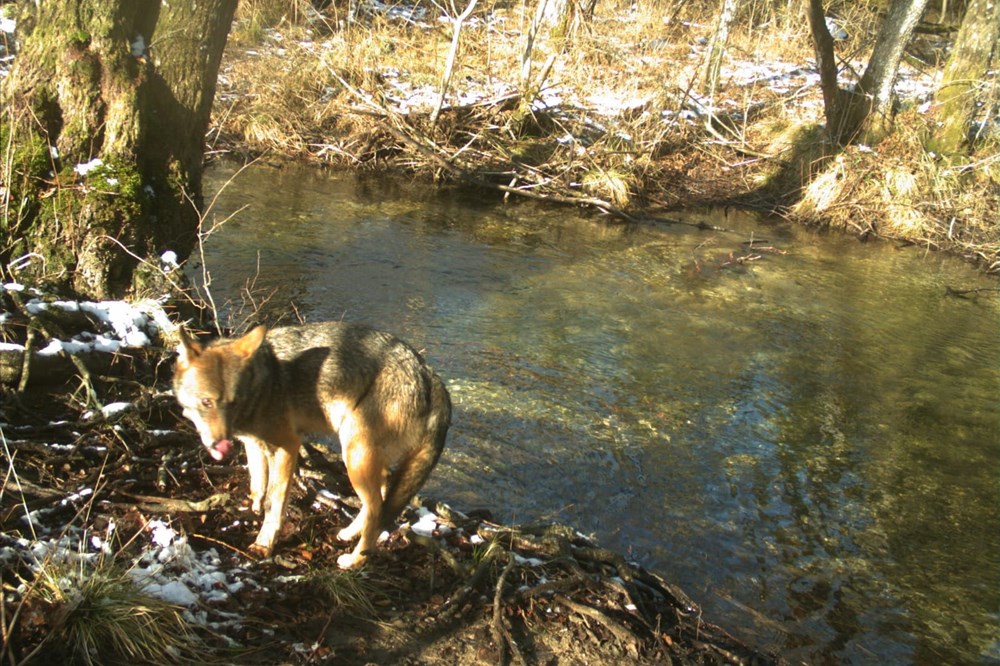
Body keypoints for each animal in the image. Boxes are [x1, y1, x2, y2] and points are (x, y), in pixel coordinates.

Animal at [174, 320, 452, 564]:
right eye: (207, 402)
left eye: (233, 402)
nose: (221, 444)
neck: (263, 385)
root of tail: (430, 375)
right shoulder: (253, 445)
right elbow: (257, 485)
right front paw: (251, 509)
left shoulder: (287, 447)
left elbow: (274, 504)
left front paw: (264, 544)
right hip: (363, 459)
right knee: (378, 500)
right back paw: (348, 534)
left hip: (354, 456)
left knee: (377, 513)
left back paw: (354, 560)